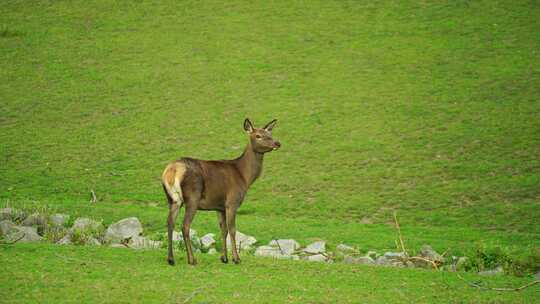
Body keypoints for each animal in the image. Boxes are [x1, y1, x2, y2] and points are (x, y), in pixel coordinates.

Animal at [161, 117, 280, 264]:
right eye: (258, 135)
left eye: (270, 134)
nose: (277, 143)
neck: (244, 177)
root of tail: (172, 170)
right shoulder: (232, 202)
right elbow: (232, 229)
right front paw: (236, 258)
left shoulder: (219, 207)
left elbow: (223, 230)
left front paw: (224, 258)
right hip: (192, 197)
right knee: (185, 225)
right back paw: (192, 259)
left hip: (173, 199)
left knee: (170, 223)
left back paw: (171, 259)